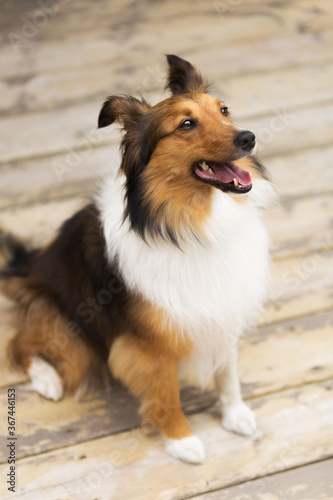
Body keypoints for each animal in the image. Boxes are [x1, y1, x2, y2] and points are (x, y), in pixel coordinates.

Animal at [0, 52, 276, 462]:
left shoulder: (221, 305)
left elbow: (227, 373)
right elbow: (167, 392)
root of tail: (29, 266)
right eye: (186, 124)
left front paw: (235, 414)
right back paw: (47, 379)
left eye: (224, 110)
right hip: (65, 328)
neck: (190, 221)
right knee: (19, 343)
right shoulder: (147, 344)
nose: (249, 137)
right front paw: (181, 441)